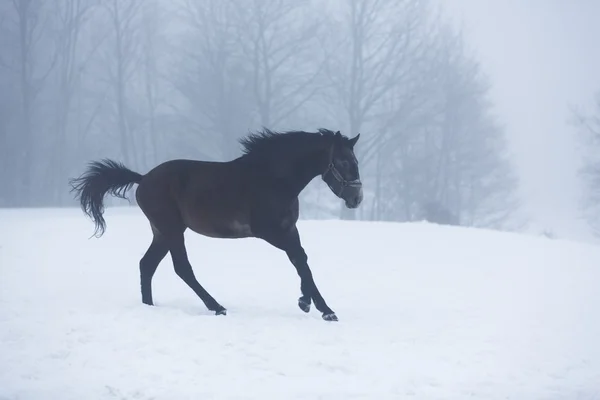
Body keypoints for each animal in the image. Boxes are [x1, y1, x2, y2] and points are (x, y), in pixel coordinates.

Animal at [69, 128, 360, 322]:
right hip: (172, 229)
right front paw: (318, 307)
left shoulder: (289, 229)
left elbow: (302, 261)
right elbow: (300, 259)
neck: (274, 178)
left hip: (162, 232)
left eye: (355, 162)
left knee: (147, 264)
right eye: (344, 162)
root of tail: (142, 179)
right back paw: (216, 306)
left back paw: (149, 306)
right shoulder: (269, 232)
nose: (357, 198)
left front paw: (313, 305)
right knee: (181, 268)